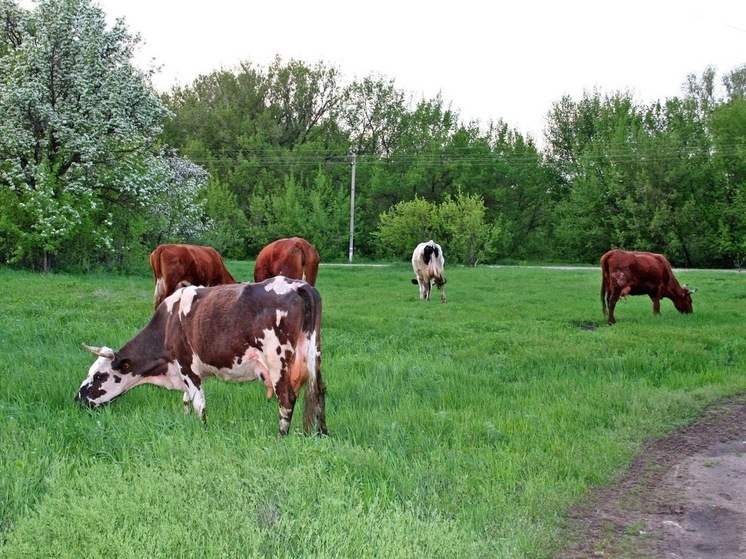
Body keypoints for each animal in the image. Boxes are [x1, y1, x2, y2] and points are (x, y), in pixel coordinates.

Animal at [75, 276, 326, 438]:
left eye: (99, 376)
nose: (77, 398)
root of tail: (299, 285)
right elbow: (186, 400)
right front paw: (187, 424)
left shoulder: (187, 366)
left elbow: (198, 402)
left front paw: (203, 431)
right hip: (314, 355)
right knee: (319, 390)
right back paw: (322, 433)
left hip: (277, 361)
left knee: (286, 397)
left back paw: (281, 436)